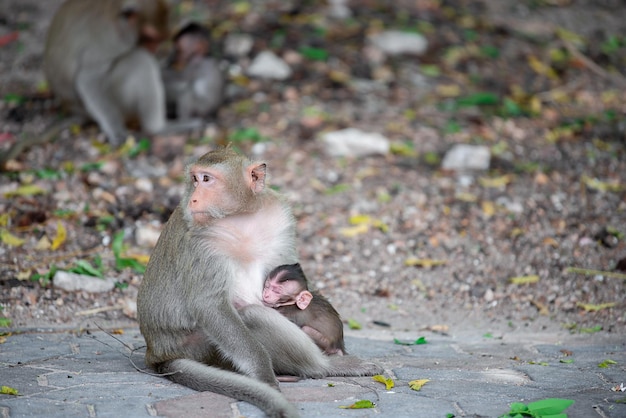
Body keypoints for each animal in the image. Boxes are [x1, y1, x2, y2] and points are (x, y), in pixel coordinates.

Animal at [136, 148, 380, 418]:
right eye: (194, 179)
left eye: (206, 179)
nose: (193, 200)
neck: (240, 216)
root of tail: (158, 353)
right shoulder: (201, 242)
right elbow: (209, 305)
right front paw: (265, 376)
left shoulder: (278, 216)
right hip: (202, 347)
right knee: (252, 315)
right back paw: (325, 366)